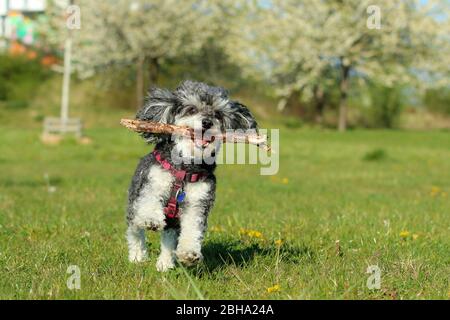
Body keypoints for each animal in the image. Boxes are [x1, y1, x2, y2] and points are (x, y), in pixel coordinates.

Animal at [125, 80, 256, 272]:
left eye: (218, 114)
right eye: (192, 109)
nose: (207, 122)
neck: (185, 168)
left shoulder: (197, 202)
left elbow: (192, 228)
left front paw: (189, 254)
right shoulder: (152, 183)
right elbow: (149, 202)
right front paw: (151, 219)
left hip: (173, 222)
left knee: (169, 238)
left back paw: (165, 263)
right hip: (134, 204)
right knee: (135, 230)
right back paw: (137, 256)